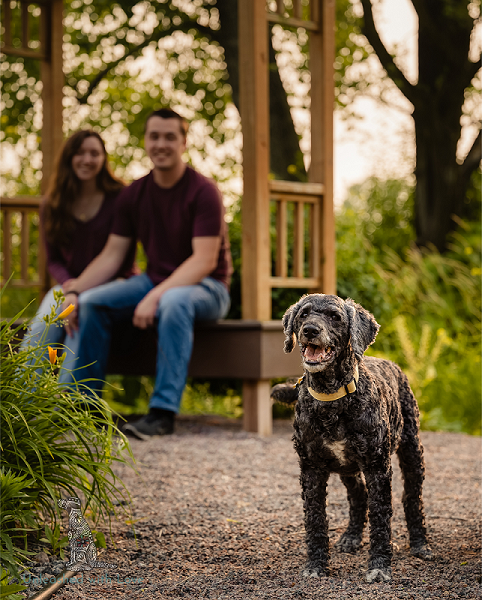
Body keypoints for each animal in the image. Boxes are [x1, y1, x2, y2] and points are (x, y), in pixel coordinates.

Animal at [272, 294, 434, 580]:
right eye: (303, 314)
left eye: (335, 317)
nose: (310, 330)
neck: (332, 399)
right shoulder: (311, 468)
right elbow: (315, 518)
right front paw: (316, 565)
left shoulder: (378, 467)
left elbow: (380, 516)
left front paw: (379, 566)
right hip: (347, 468)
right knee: (359, 495)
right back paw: (351, 537)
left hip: (412, 451)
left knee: (412, 499)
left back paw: (420, 544)